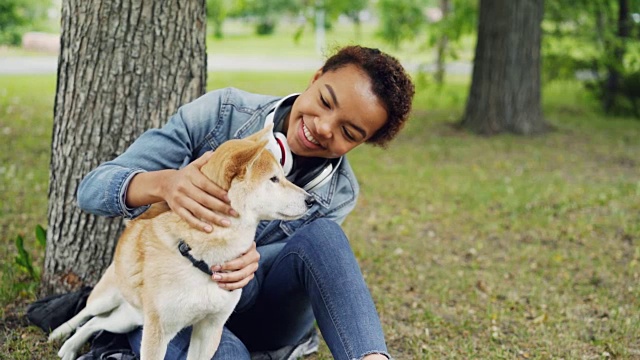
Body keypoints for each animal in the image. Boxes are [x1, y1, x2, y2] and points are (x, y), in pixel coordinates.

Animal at [48, 124, 312, 360]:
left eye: (281, 177)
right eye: (273, 179)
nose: (310, 200)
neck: (202, 258)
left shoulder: (210, 329)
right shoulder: (157, 333)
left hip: (131, 318)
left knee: (96, 323)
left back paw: (71, 347)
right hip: (113, 299)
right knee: (87, 312)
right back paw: (59, 335)